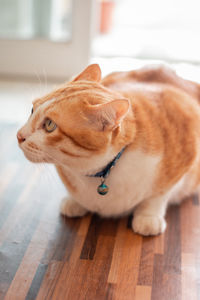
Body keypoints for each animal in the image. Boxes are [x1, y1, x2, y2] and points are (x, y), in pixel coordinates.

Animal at [16, 64, 200, 236]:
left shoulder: (187, 138)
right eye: (32, 110)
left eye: (49, 125)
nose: (19, 136)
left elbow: (158, 195)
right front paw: (75, 202)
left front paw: (148, 217)